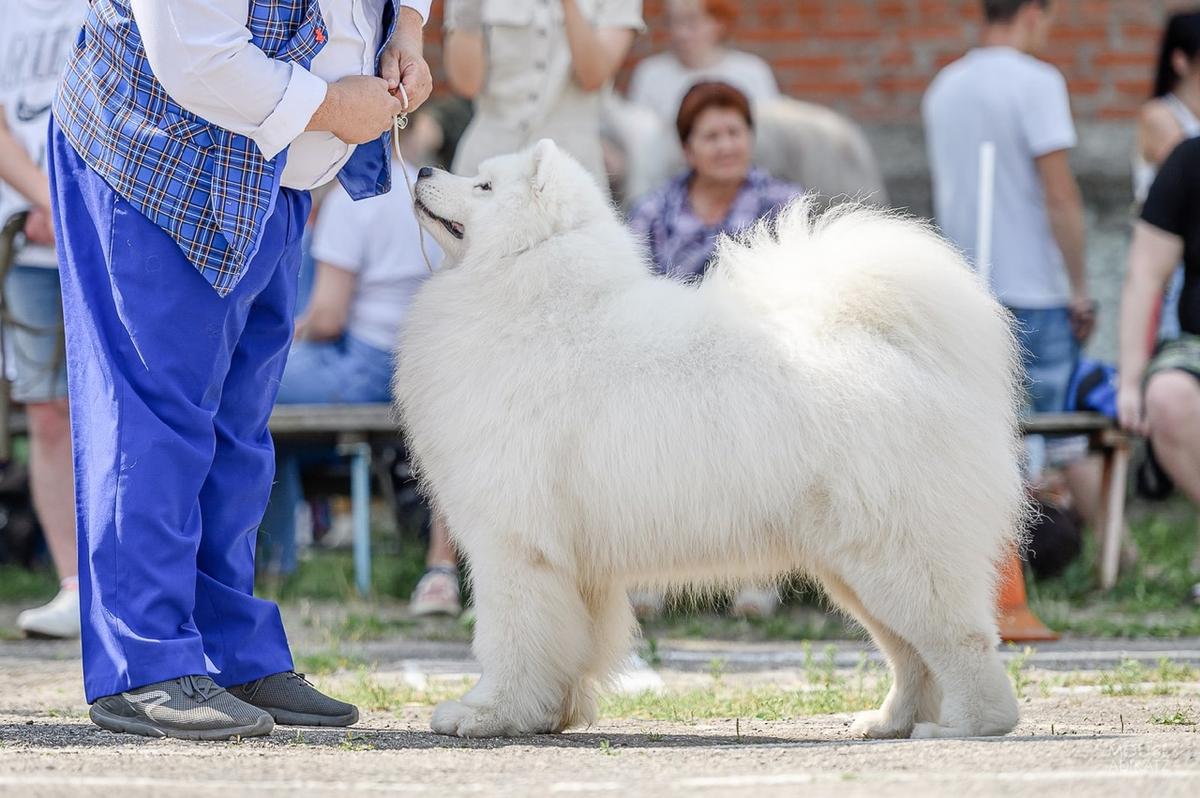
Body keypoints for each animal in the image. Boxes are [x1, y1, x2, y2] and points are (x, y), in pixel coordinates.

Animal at [398, 138, 1027, 739]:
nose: (423, 170)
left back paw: (966, 726)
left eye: (483, 186)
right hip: (852, 568)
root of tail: (906, 350)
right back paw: (889, 722)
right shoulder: (574, 567)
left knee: (961, 643)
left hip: (896, 556)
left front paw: (487, 714)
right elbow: (569, 647)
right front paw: (551, 715)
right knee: (910, 655)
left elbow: (508, 639)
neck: (531, 293)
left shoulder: (514, 545)